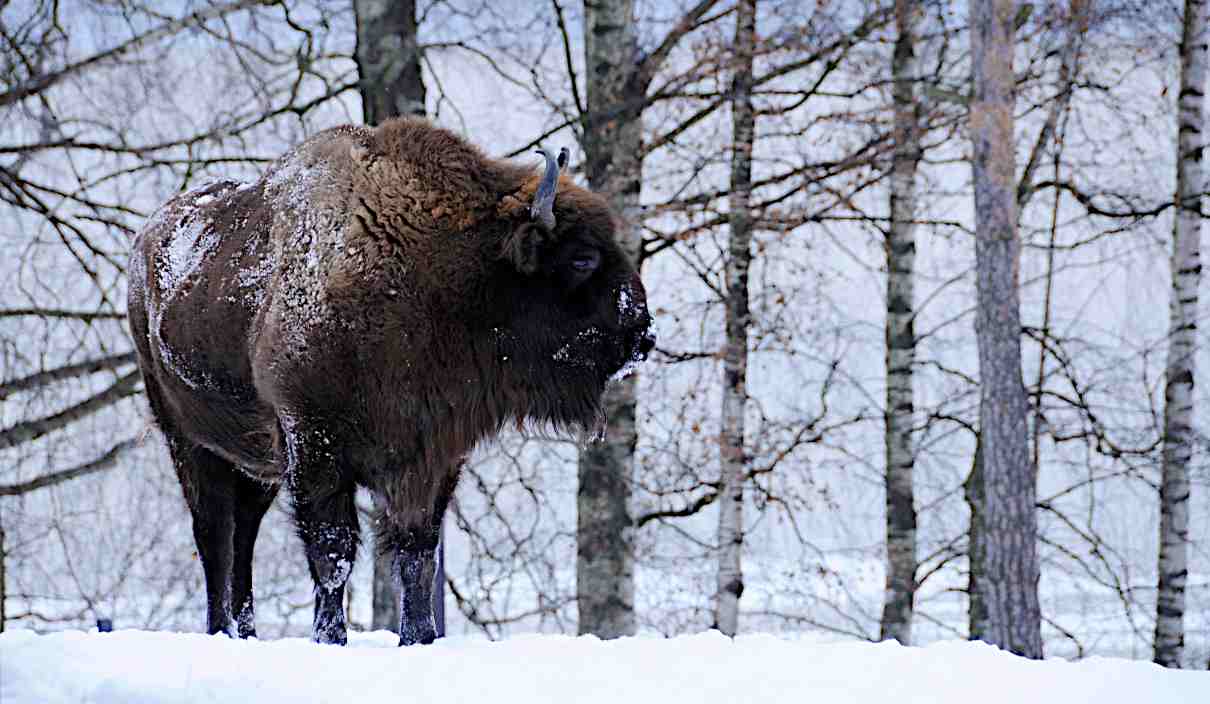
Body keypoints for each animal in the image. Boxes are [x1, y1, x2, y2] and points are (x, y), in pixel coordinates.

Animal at [128, 118, 658, 648]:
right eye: (582, 259)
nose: (643, 334)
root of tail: (145, 243)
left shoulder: (430, 457)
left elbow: (416, 553)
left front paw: (418, 638)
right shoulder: (312, 443)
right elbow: (334, 554)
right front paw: (332, 639)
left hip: (255, 466)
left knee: (244, 534)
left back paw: (248, 632)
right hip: (189, 442)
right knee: (215, 536)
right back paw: (222, 631)